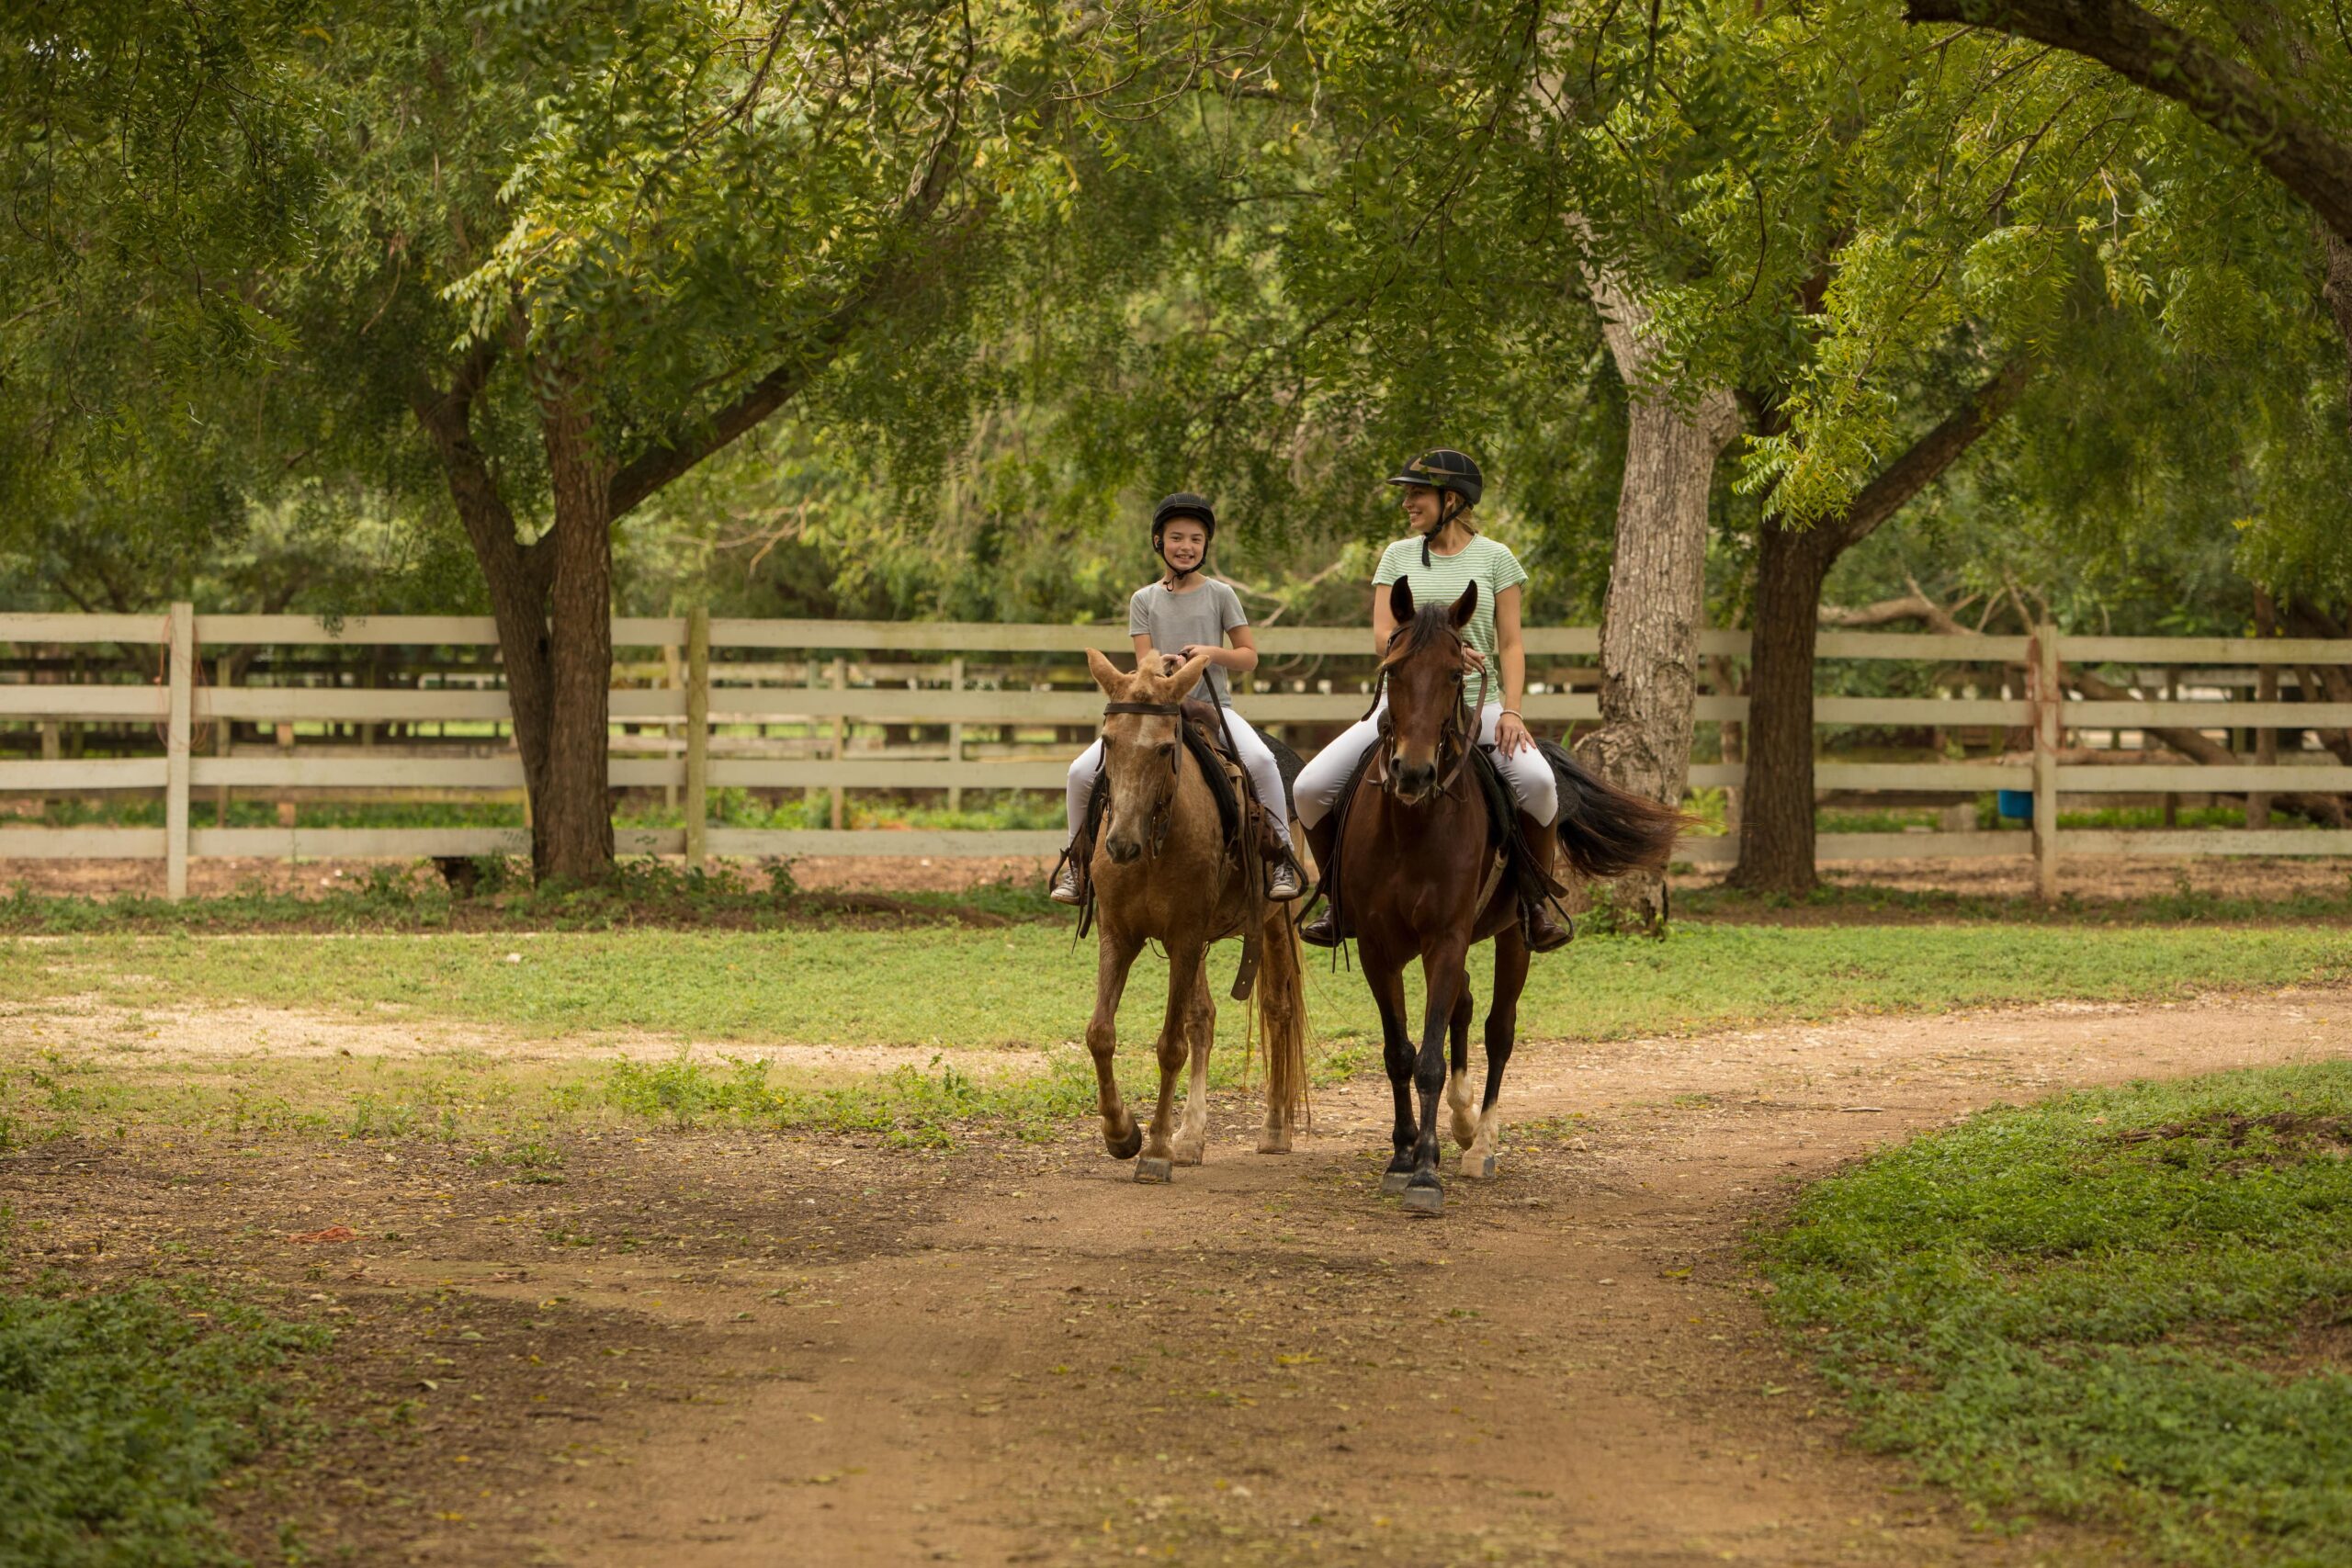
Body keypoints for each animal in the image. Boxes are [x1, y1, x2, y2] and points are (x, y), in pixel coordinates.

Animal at [1077, 649, 1307, 1175]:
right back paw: (1191, 1136)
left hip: (1275, 922)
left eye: (1166, 749)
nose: (1120, 844)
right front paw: (1123, 1134)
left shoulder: (1183, 936)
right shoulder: (1119, 934)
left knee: (1278, 1010)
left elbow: (1169, 1046)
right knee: (1203, 1018)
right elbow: (1101, 1033)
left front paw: (1155, 1151)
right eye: (1108, 741)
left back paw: (1274, 1129)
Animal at [1336, 582, 1683, 1222]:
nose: (1413, 773)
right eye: (1393, 670)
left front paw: (1426, 1173)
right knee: (1466, 1008)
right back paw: (1463, 1121)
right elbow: (1400, 1052)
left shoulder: (1446, 939)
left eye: (1455, 674)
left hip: (1513, 936)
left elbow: (1428, 1059)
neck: (1410, 826)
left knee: (1498, 1027)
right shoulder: (1378, 948)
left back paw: (1481, 1144)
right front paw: (1401, 1158)